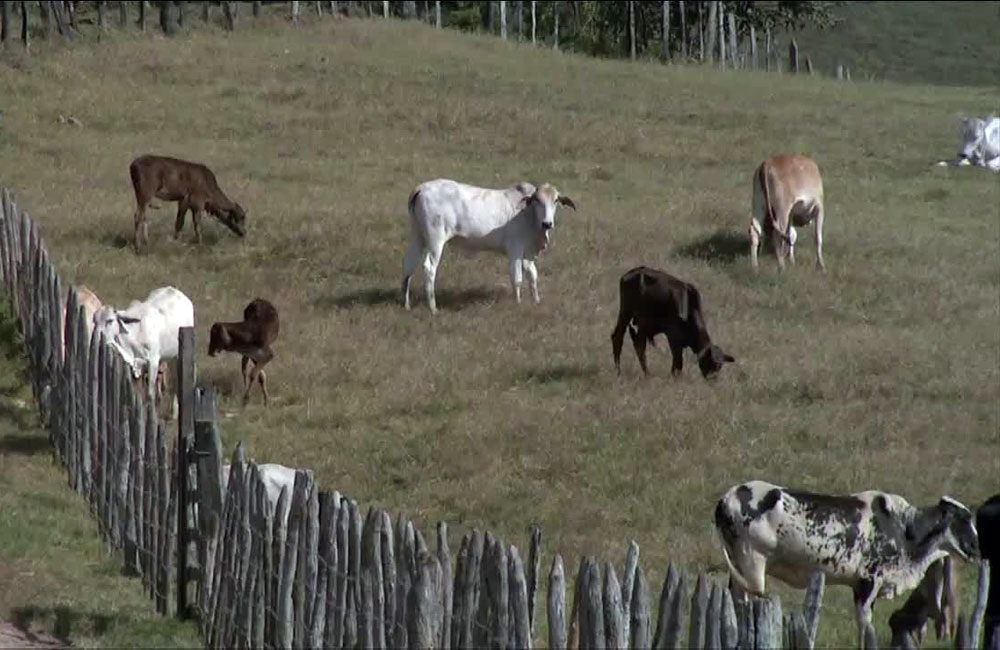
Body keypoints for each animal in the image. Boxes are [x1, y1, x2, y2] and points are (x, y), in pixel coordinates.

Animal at [94, 286, 195, 418]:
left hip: (178, 354)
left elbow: (150, 393)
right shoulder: (133, 365)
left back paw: (174, 412)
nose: (98, 337)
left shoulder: (153, 361)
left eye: (110, 320)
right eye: (94, 321)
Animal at [398, 178, 576, 312]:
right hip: (435, 239)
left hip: (418, 236)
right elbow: (517, 278)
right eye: (537, 200)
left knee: (408, 265)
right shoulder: (515, 249)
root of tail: (421, 188)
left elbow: (533, 275)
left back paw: (406, 305)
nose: (547, 223)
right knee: (429, 268)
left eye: (555, 200)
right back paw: (433, 308)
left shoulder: (528, 253)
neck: (529, 215)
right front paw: (518, 303)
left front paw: (536, 301)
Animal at [608, 264, 736, 378]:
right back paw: (628, 372)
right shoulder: (673, 337)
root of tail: (629, 274)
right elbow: (678, 364)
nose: (713, 379)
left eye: (720, 366)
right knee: (622, 339)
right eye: (714, 364)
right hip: (628, 313)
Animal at [716, 478, 980, 644]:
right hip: (751, 562)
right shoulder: (868, 581)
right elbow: (865, 625)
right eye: (961, 519)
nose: (977, 548)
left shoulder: (860, 585)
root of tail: (727, 497)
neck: (905, 529)